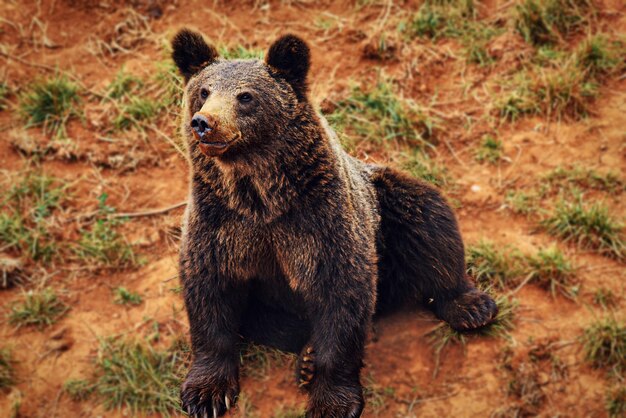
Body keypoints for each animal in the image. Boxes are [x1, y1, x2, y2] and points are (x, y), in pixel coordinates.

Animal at [172, 29, 498, 418]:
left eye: (246, 96)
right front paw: (206, 393)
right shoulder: (221, 224)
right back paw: (306, 357)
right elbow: (209, 291)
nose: (204, 123)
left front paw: (332, 400)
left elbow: (341, 293)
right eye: (203, 91)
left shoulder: (319, 220)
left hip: (386, 206)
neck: (260, 195)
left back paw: (471, 306)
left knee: (430, 222)